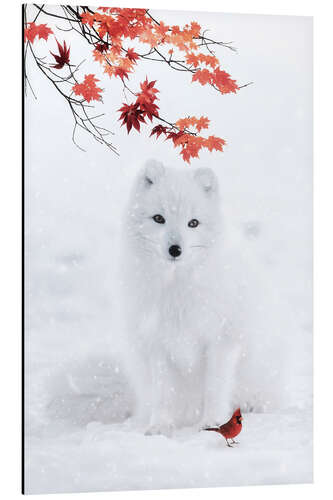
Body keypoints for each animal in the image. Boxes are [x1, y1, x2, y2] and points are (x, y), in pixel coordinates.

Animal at [119, 160, 241, 434]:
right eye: (159, 219)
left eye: (193, 223)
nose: (175, 249)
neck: (177, 288)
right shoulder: (158, 343)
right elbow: (164, 392)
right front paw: (159, 426)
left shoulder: (220, 338)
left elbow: (214, 386)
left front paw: (212, 422)